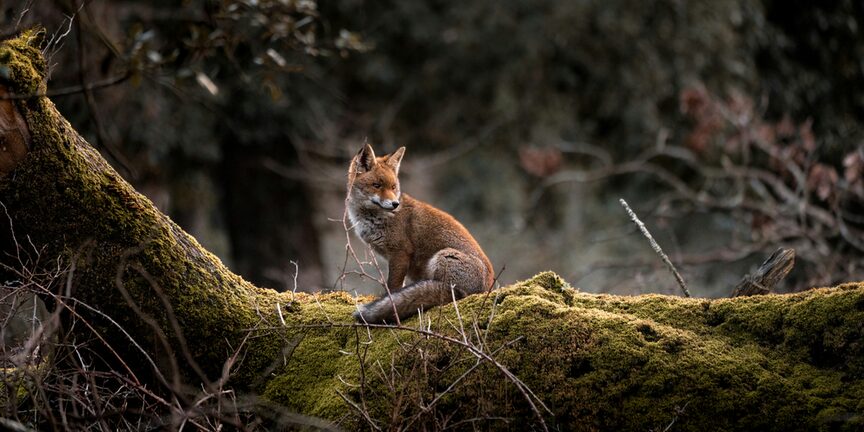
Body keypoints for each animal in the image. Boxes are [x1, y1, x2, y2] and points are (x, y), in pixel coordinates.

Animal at [347, 144, 494, 323]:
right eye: (376, 185)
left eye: (393, 187)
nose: (395, 204)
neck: (374, 218)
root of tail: (487, 288)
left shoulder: (400, 253)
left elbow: (393, 288)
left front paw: (389, 303)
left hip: (443, 257)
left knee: (450, 294)